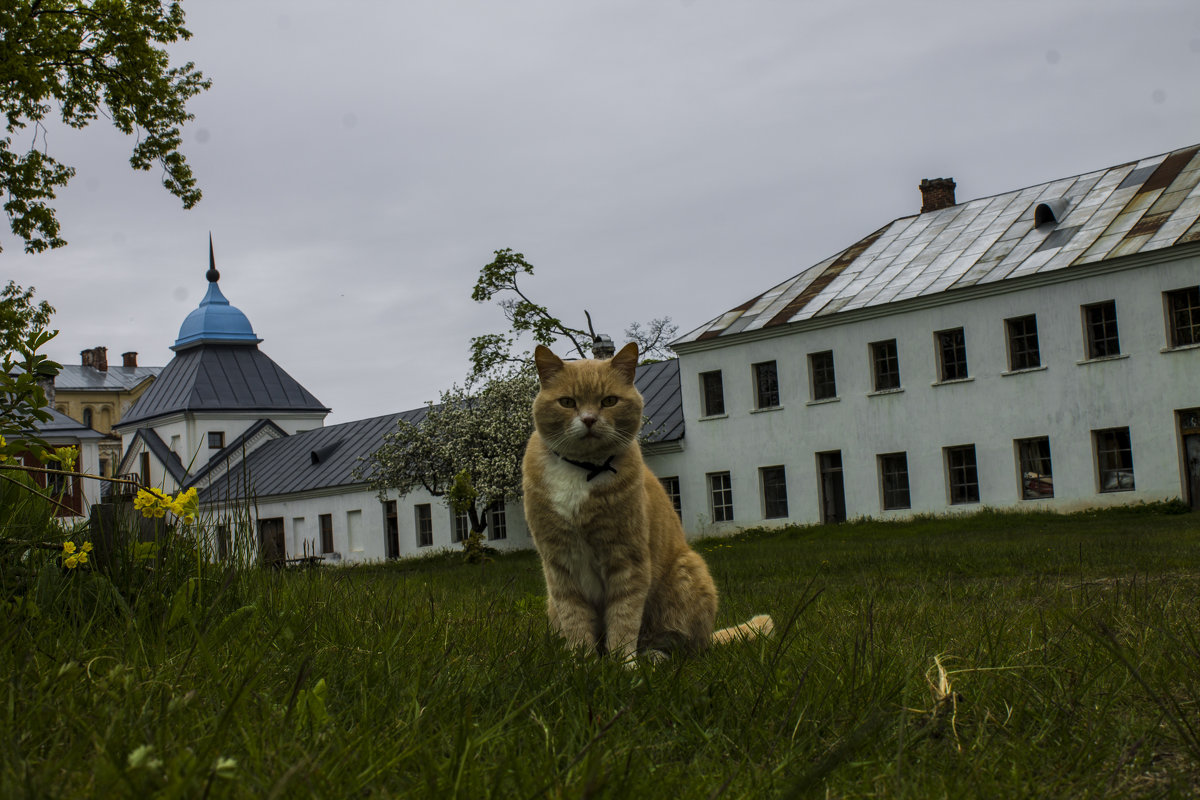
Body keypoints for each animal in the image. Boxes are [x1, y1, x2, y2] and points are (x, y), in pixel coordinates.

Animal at [523, 345, 768, 662]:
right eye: (567, 402)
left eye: (609, 401)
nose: (589, 419)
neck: (582, 470)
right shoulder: (559, 564)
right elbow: (575, 618)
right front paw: (582, 662)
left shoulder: (627, 557)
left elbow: (624, 617)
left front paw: (621, 664)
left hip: (686, 576)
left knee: (681, 645)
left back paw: (653, 657)